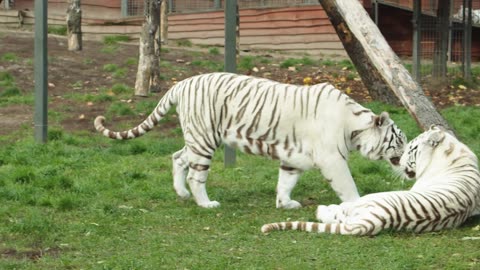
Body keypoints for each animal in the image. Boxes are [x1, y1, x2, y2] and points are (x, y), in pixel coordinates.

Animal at [95, 71, 406, 209]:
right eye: (400, 142)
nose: (409, 163)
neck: (354, 127)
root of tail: (181, 83)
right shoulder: (333, 159)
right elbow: (348, 186)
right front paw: (359, 205)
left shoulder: (294, 158)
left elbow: (286, 182)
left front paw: (285, 204)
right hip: (205, 138)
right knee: (196, 175)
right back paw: (205, 203)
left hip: (197, 138)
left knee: (178, 157)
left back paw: (181, 193)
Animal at [262, 125, 480, 235]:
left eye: (411, 149)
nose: (399, 160)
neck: (455, 152)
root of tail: (378, 219)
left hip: (365, 201)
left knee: (338, 213)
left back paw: (322, 208)